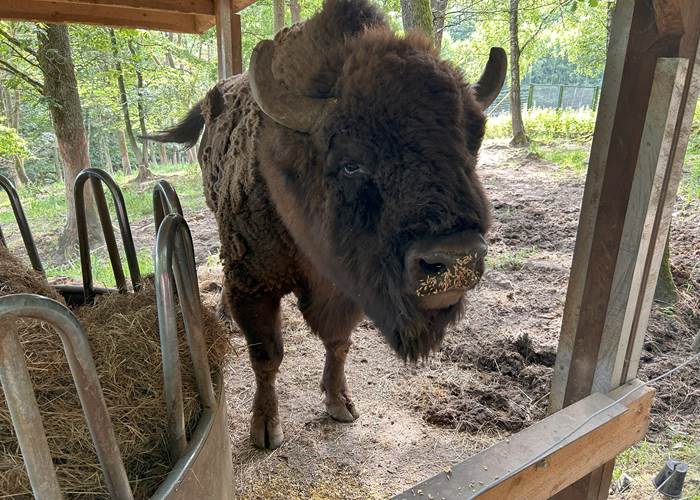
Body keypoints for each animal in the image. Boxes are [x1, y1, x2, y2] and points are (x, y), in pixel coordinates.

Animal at [150, 0, 506, 449]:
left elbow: (338, 342)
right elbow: (267, 355)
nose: (455, 259)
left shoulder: (346, 286)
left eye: (472, 146)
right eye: (351, 163)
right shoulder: (254, 285)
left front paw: (340, 403)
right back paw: (223, 314)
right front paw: (265, 427)